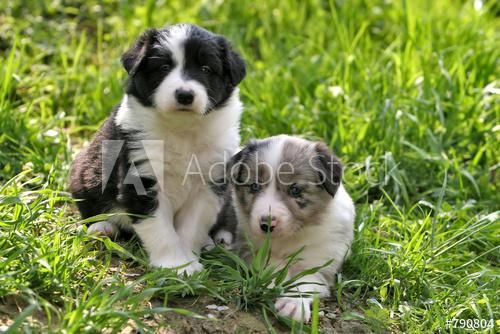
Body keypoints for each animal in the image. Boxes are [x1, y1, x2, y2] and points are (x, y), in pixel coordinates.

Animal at [70, 23, 246, 274]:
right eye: (163, 67)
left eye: (205, 68)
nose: (184, 95)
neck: (182, 129)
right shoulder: (142, 178)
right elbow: (160, 229)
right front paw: (175, 264)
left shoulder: (209, 184)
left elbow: (192, 226)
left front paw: (188, 260)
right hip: (83, 173)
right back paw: (102, 227)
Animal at [213, 134, 354, 322]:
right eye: (254, 186)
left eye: (295, 190)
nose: (266, 224)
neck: (290, 237)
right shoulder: (253, 251)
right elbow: (274, 268)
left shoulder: (322, 262)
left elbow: (305, 279)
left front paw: (293, 304)